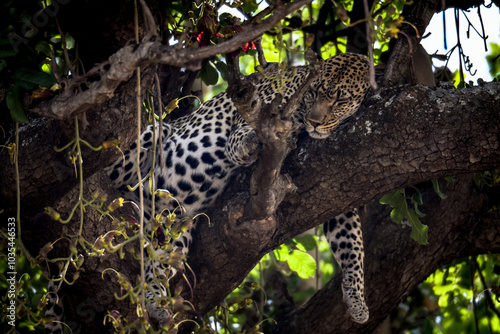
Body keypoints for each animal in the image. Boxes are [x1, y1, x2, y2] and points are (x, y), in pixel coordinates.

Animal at [44, 52, 372, 332]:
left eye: (340, 100)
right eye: (314, 92)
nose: (315, 122)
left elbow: (350, 240)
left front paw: (356, 298)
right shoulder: (254, 113)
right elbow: (244, 136)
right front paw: (252, 142)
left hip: (175, 229)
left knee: (161, 258)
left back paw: (156, 300)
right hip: (150, 136)